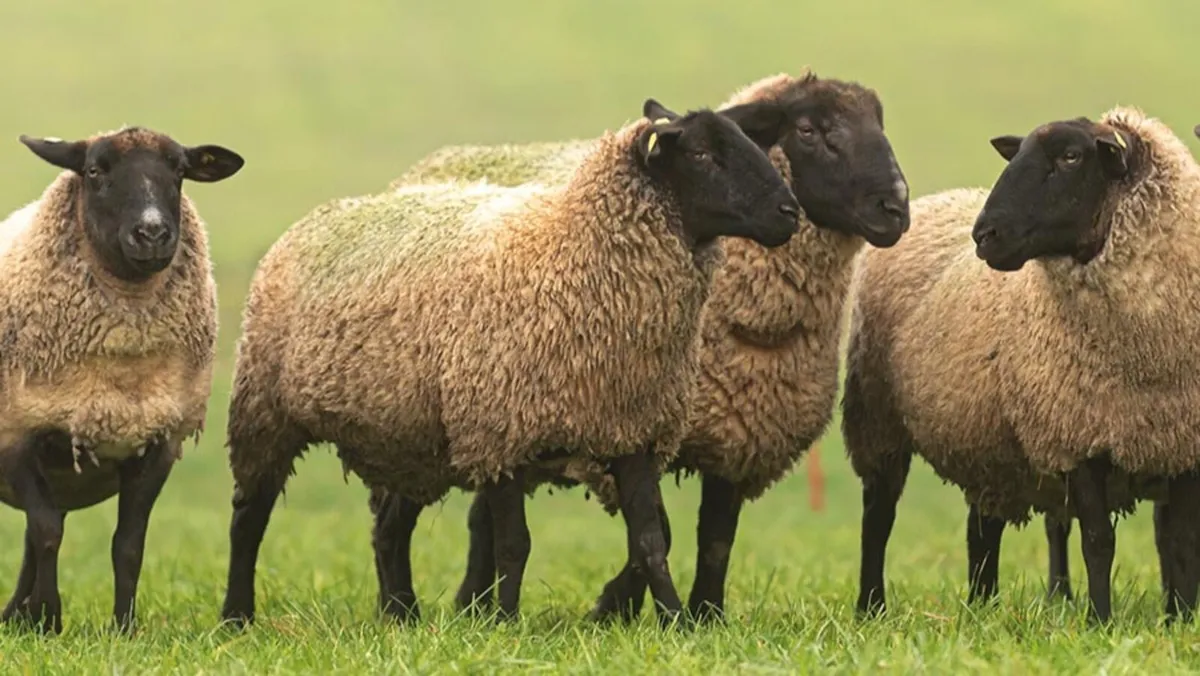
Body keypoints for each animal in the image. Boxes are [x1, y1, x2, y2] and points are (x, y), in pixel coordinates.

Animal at [0, 127, 243, 633]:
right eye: (94, 170)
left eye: (179, 170)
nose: (152, 233)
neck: (122, 369)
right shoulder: (15, 436)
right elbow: (48, 531)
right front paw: (49, 618)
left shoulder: (156, 444)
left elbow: (127, 544)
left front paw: (124, 628)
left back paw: (14, 617)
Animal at [218, 96, 803, 627]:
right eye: (702, 153)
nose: (790, 213)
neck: (572, 252)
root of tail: (322, 213)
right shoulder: (499, 431)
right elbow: (513, 544)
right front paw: (504, 622)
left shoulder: (631, 429)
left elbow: (649, 541)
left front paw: (677, 622)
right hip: (264, 410)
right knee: (249, 517)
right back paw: (237, 616)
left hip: (411, 435)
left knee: (390, 526)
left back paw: (401, 615)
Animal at [419, 70, 912, 624]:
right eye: (809, 129)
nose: (895, 209)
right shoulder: (630, 427)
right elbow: (661, 534)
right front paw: (613, 607)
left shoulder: (735, 434)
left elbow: (715, 539)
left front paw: (705, 614)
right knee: (485, 516)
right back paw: (473, 603)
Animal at [843, 108, 1200, 624]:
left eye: (1071, 157)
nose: (985, 235)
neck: (1145, 358)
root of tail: (935, 200)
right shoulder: (1077, 435)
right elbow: (1099, 541)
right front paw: (1100, 621)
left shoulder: (1181, 445)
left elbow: (1180, 541)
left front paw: (1182, 619)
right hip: (879, 420)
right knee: (878, 517)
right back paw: (872, 607)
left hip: (984, 440)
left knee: (981, 528)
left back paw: (982, 606)